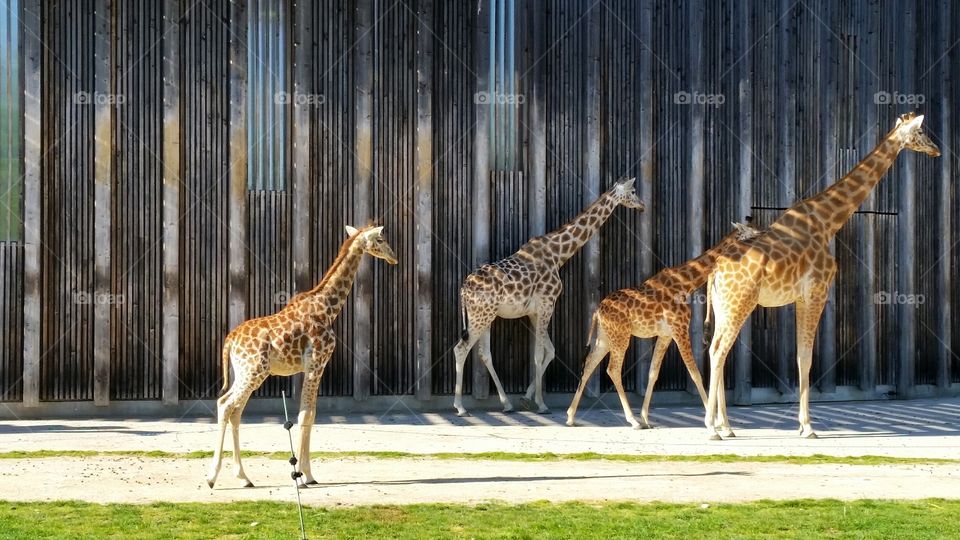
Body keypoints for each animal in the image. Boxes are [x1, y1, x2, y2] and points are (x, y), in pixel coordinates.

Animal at [204, 226, 396, 488]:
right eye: (381, 239)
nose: (394, 257)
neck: (328, 308)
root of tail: (230, 340)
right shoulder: (317, 363)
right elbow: (307, 414)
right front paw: (305, 475)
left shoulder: (312, 367)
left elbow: (310, 414)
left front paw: (307, 474)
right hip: (254, 372)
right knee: (226, 405)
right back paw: (212, 477)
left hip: (243, 373)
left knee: (233, 410)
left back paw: (244, 477)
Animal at [454, 179, 648, 416]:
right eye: (633, 191)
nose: (642, 206)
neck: (558, 254)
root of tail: (464, 289)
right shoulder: (547, 304)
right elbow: (539, 355)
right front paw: (541, 404)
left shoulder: (534, 312)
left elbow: (551, 351)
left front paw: (527, 398)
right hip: (480, 316)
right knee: (461, 349)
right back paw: (460, 407)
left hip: (486, 316)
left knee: (484, 353)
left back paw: (506, 403)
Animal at [568, 220, 760, 430]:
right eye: (754, 234)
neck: (686, 284)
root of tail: (597, 311)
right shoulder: (680, 329)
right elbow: (695, 373)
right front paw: (715, 422)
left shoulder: (666, 334)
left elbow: (653, 372)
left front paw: (646, 418)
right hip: (620, 337)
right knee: (612, 369)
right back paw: (632, 420)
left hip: (605, 337)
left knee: (589, 364)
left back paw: (570, 416)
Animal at [704, 112, 936, 440]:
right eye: (921, 132)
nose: (937, 150)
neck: (828, 222)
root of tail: (715, 271)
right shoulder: (817, 292)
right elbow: (806, 356)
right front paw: (808, 426)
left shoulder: (802, 297)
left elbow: (801, 355)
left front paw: (803, 424)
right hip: (739, 304)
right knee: (718, 351)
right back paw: (712, 427)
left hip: (727, 306)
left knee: (719, 350)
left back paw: (727, 426)